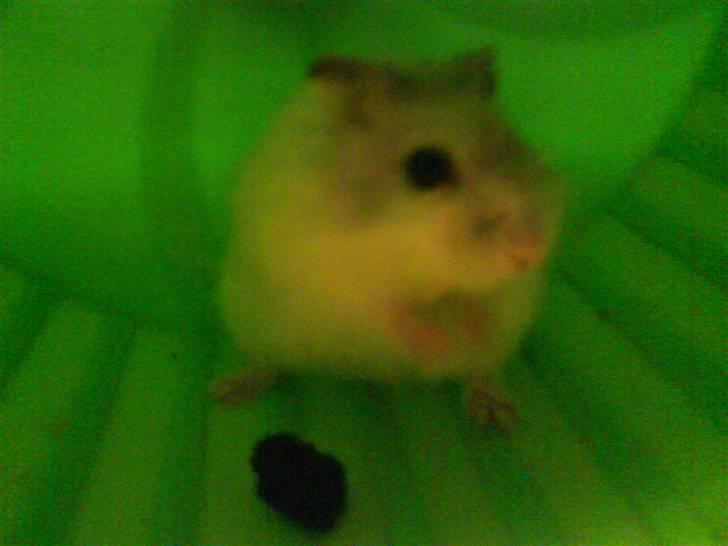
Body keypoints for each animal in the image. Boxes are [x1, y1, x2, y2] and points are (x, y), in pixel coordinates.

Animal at [212, 48, 564, 431]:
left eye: (513, 143)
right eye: (427, 167)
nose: (531, 251)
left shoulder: (506, 291)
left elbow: (481, 302)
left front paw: (472, 332)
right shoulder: (335, 279)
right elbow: (390, 311)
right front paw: (434, 345)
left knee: (482, 371)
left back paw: (499, 416)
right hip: (253, 327)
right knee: (265, 362)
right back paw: (228, 392)